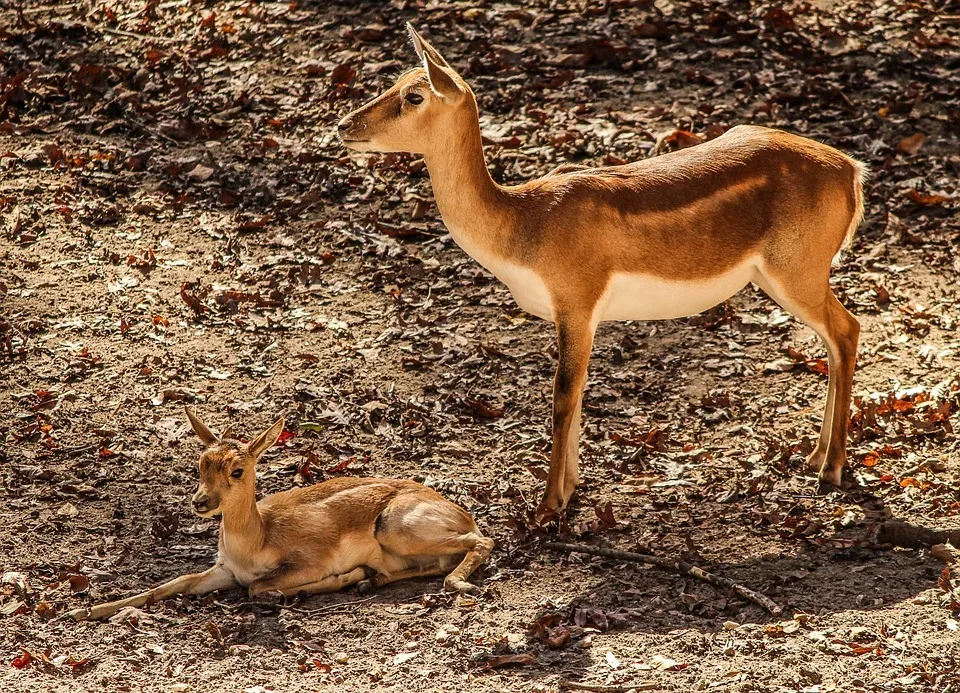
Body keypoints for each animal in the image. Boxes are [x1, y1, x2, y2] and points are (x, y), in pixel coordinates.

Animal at [65, 406, 496, 620]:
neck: (256, 541)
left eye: (238, 469)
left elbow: (258, 587)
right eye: (201, 462)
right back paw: (371, 580)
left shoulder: (304, 563)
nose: (200, 502)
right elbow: (173, 583)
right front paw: (86, 610)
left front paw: (340, 578)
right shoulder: (225, 569)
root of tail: (461, 511)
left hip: (397, 528)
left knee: (482, 542)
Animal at [340, 24, 872, 520]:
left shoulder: (577, 301)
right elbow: (577, 394)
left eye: (414, 95)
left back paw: (830, 469)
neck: (524, 225)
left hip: (796, 271)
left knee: (848, 329)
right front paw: (570, 490)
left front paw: (547, 506)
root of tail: (852, 170)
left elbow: (562, 395)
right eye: (394, 81)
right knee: (835, 339)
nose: (345, 124)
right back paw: (815, 457)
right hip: (777, 277)